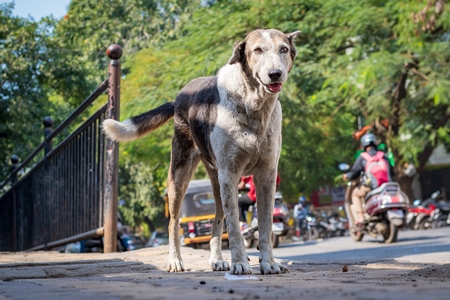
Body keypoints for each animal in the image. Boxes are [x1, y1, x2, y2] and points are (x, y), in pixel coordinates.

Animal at [103, 29, 300, 276]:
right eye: (257, 50)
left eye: (283, 49)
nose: (275, 74)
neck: (253, 104)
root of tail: (179, 97)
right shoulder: (230, 174)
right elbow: (234, 227)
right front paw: (240, 262)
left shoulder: (266, 175)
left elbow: (265, 226)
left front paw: (269, 262)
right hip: (180, 175)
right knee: (174, 222)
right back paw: (175, 261)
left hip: (217, 181)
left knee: (217, 219)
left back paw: (217, 259)